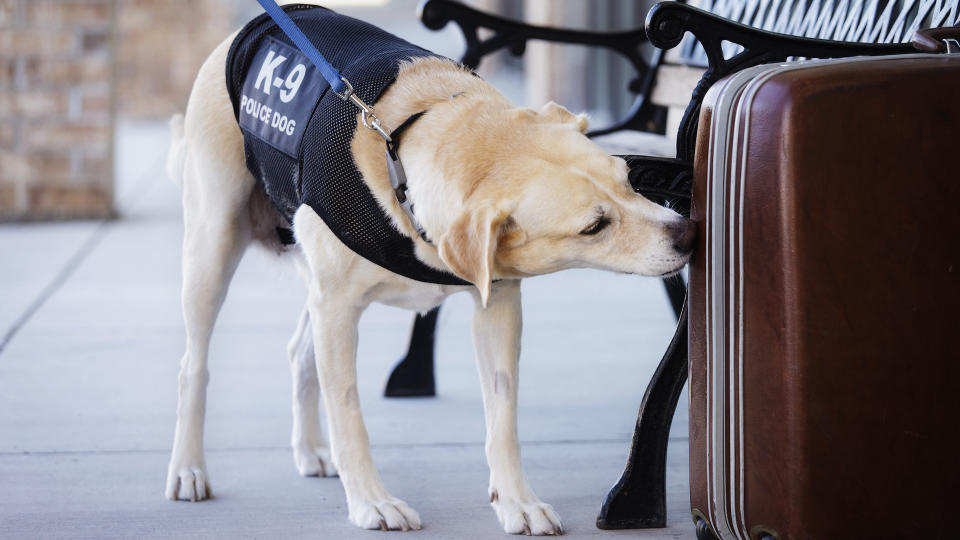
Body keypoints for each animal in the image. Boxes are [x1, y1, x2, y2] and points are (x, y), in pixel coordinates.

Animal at [163, 14, 688, 536]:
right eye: (594, 226)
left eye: (628, 181)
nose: (687, 232)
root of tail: (256, 24)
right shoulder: (337, 309)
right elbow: (348, 413)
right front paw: (371, 502)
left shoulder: (498, 303)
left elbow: (503, 417)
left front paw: (516, 501)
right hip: (214, 248)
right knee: (193, 365)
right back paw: (188, 468)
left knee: (299, 354)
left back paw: (310, 449)